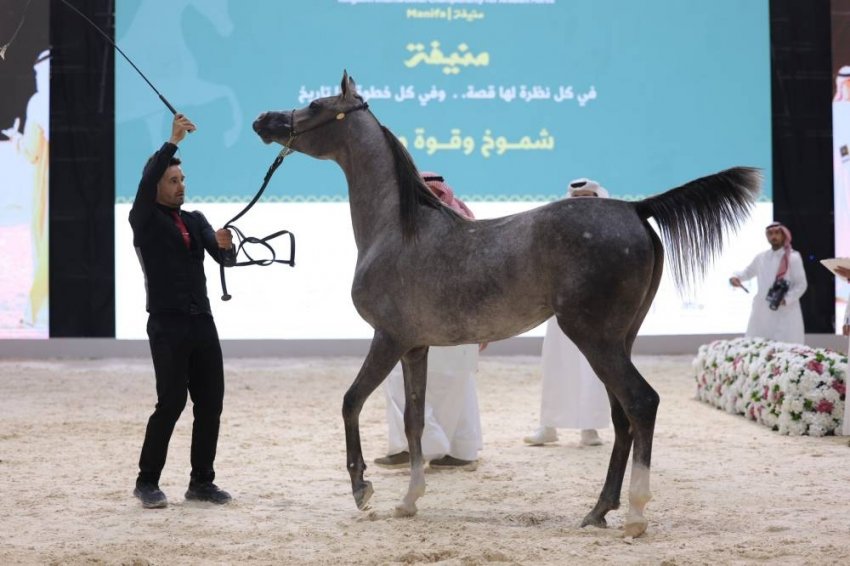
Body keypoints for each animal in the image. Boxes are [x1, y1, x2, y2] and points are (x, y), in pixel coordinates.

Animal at [250, 73, 756, 540]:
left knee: (641, 403)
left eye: (316, 105)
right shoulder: (415, 348)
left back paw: (633, 515)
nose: (263, 120)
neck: (399, 232)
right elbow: (414, 422)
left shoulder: (387, 339)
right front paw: (409, 501)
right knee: (622, 417)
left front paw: (362, 489)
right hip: (620, 339)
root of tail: (635, 208)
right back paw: (598, 511)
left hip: (594, 338)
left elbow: (351, 401)